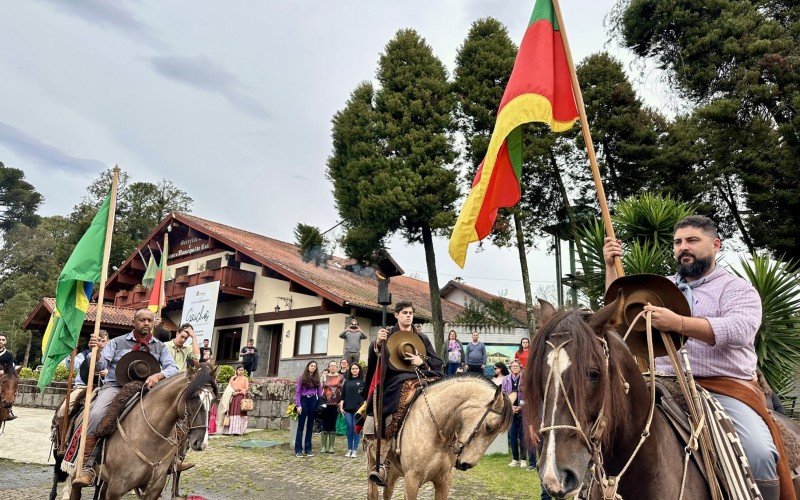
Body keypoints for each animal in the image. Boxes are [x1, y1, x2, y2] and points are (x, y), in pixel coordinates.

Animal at [51, 364, 217, 500]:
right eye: (194, 397)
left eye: (214, 400)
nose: (201, 442)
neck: (148, 436)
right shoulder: (116, 488)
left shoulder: (154, 489)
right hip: (76, 471)